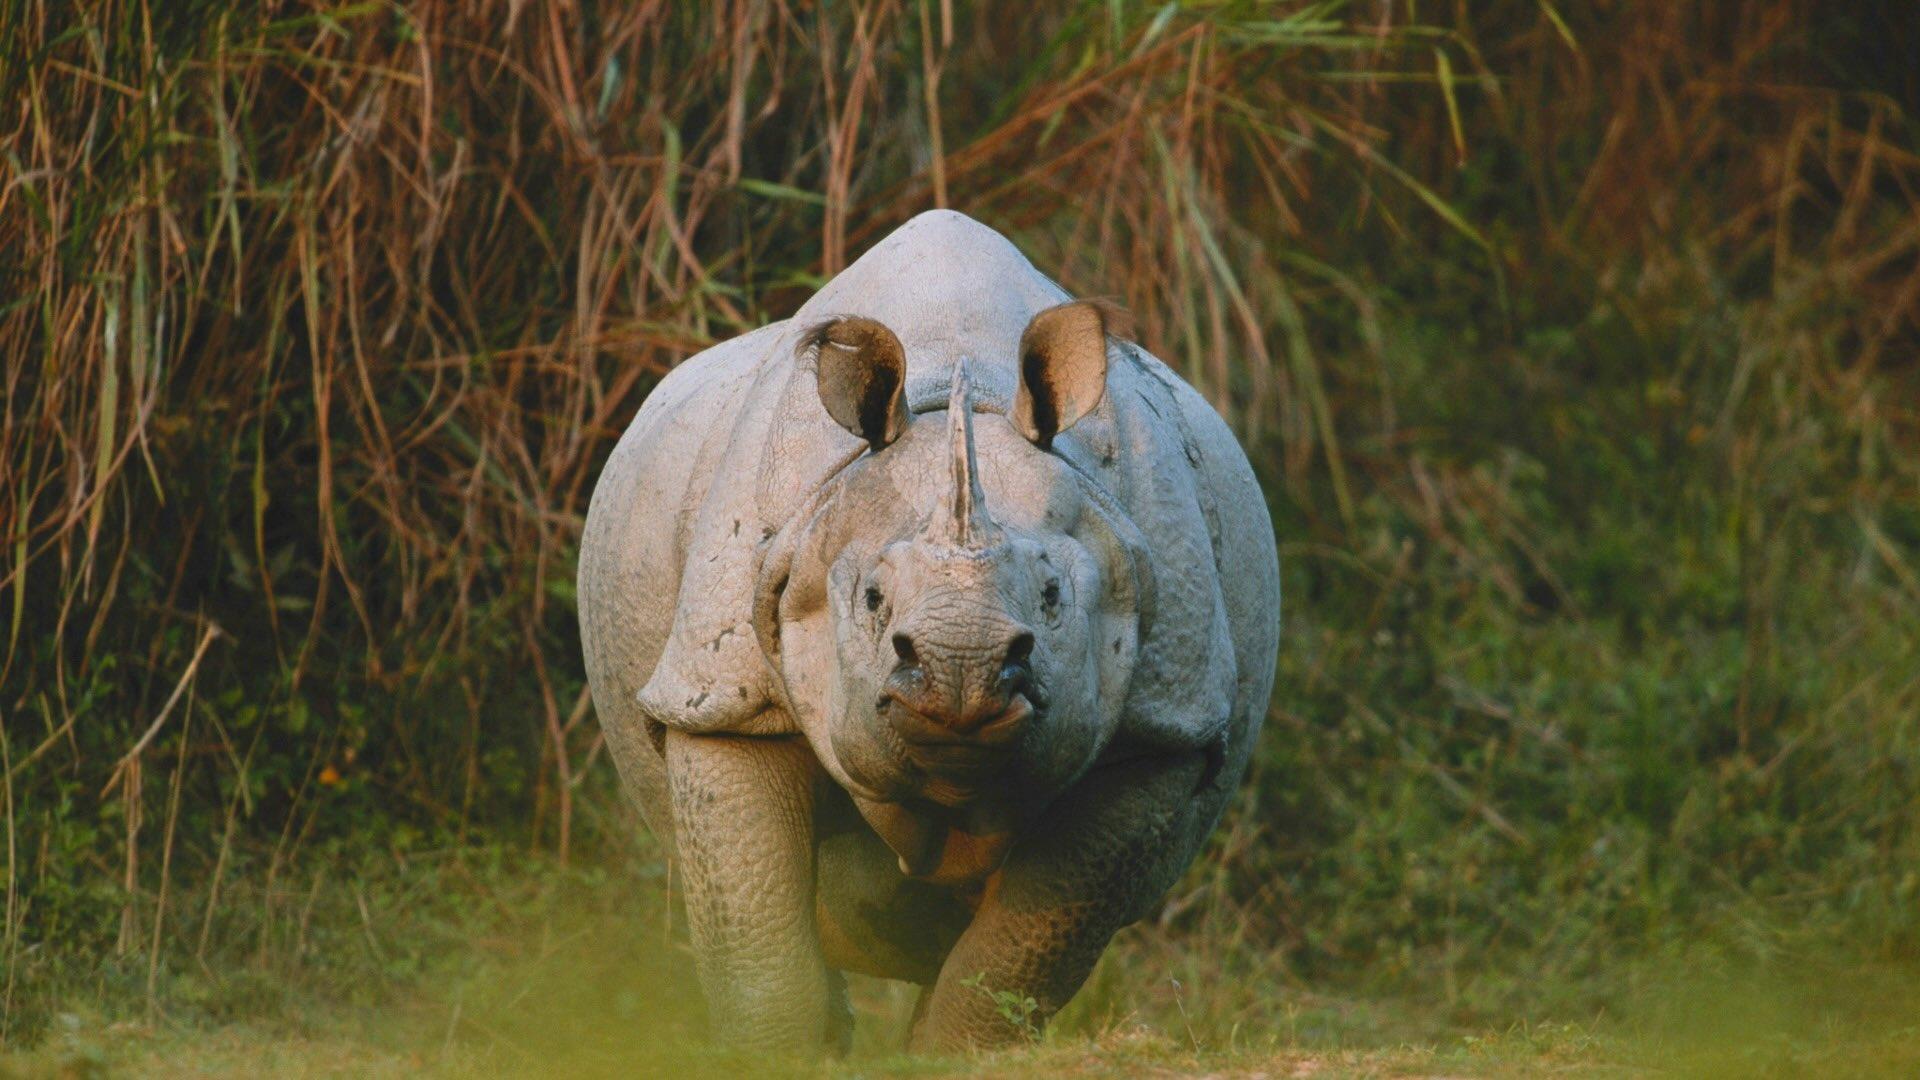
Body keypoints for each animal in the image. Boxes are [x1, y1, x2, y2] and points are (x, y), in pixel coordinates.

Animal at [577, 210, 1278, 1052]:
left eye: (1052, 595)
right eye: (873, 599)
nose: (963, 671)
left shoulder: (1161, 725)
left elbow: (1019, 949)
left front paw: (950, 1056)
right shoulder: (725, 698)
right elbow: (759, 944)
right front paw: (780, 1054)